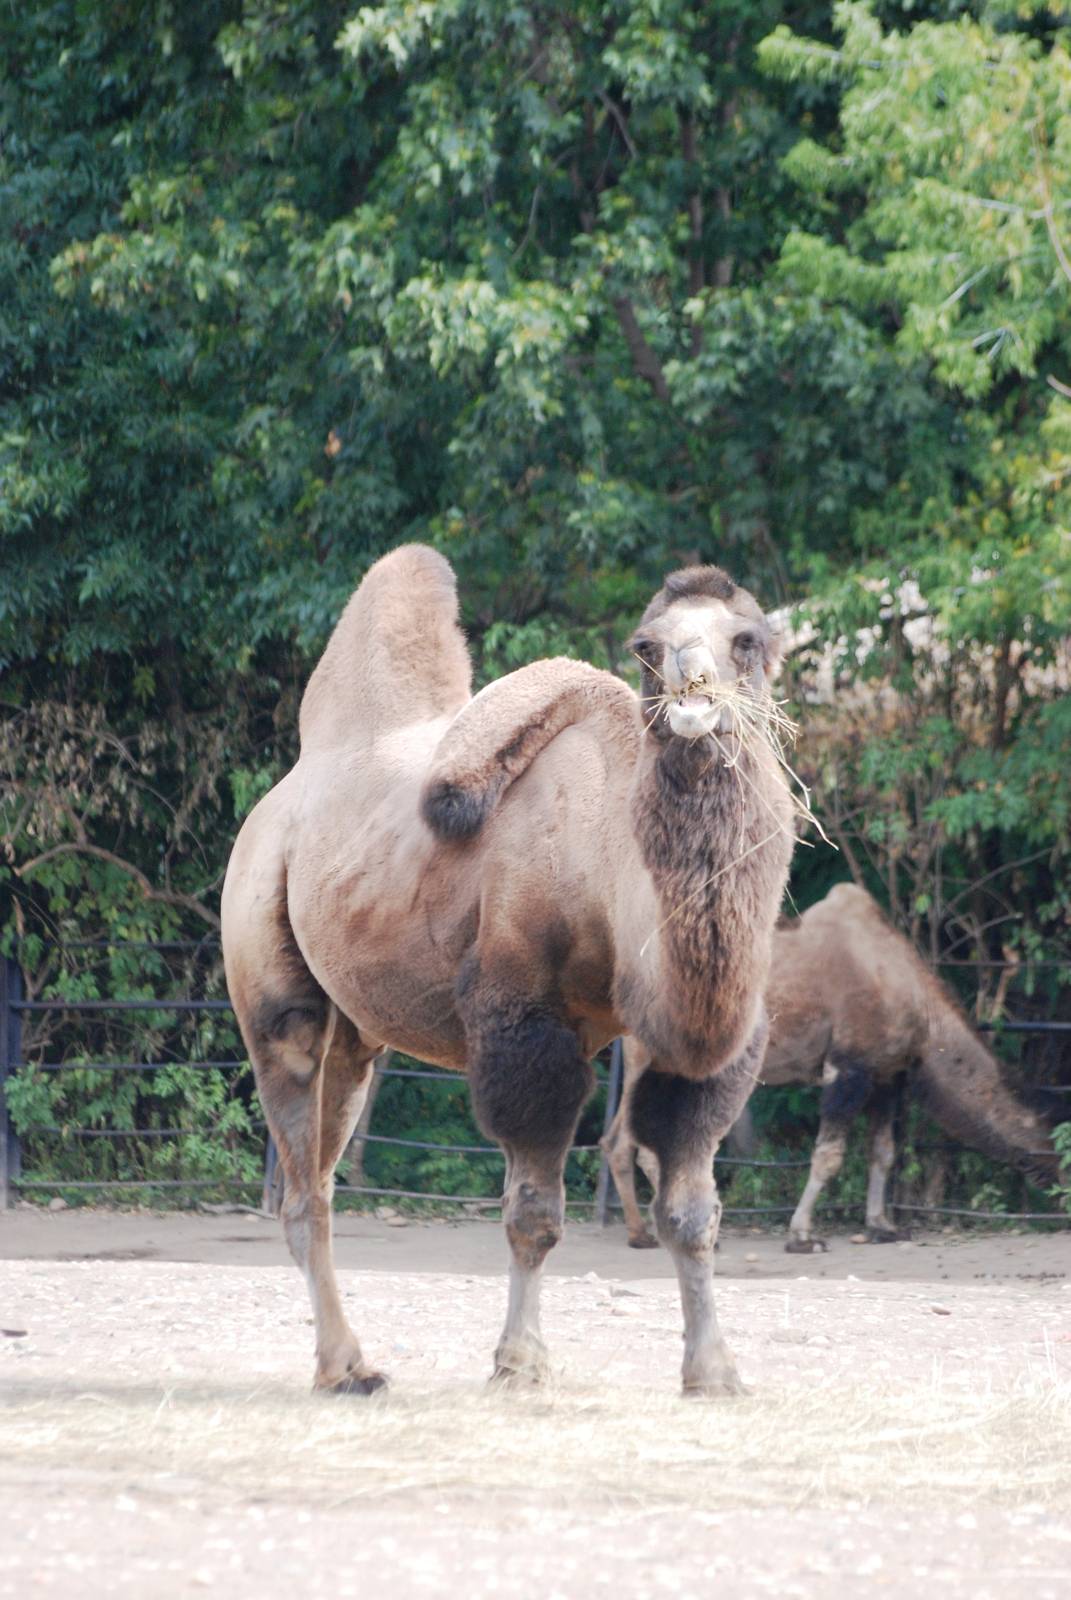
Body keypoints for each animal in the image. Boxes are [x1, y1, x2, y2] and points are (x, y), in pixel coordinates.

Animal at [221, 545, 794, 1396]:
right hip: (267, 971)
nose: (694, 691)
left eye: (747, 640)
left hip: (354, 1030)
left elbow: (692, 1214)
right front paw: (519, 1363)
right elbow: (533, 1212)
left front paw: (713, 1371)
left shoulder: (697, 1039)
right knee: (299, 1172)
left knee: (320, 1169)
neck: (606, 863)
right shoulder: (522, 1022)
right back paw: (345, 1368)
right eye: (646, 646)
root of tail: (271, 808)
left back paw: (347, 1363)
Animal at [604, 883, 1061, 1251]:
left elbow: (883, 1151)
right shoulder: (848, 1067)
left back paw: (642, 1233)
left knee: (617, 1140)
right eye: (1054, 1142)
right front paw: (803, 1236)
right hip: (656, 1052)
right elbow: (829, 1156)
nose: (1058, 1188)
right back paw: (679, 1235)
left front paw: (882, 1226)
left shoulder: (887, 1075)